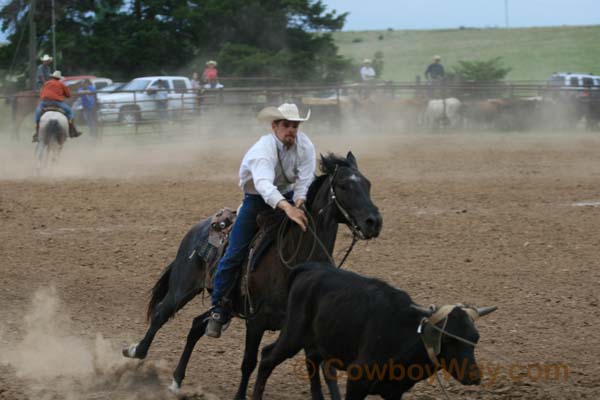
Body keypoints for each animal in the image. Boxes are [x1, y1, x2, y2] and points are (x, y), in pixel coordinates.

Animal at [123, 152, 382, 398]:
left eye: (368, 184)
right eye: (344, 186)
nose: (374, 222)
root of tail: (199, 227)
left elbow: (327, 372)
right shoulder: (256, 321)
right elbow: (248, 363)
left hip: (225, 304)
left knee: (196, 325)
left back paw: (177, 381)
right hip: (183, 288)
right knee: (161, 313)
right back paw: (136, 351)